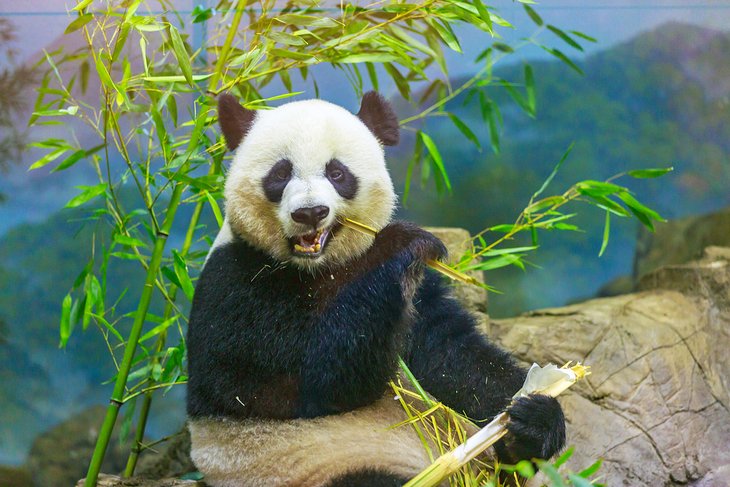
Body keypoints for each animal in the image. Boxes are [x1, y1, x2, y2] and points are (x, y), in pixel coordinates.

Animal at [186, 92, 564, 487]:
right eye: (280, 174)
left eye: (337, 173)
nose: (310, 212)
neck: (318, 268)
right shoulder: (236, 283)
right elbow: (301, 380)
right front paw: (403, 242)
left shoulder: (413, 292)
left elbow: (451, 355)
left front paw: (536, 414)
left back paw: (518, 447)